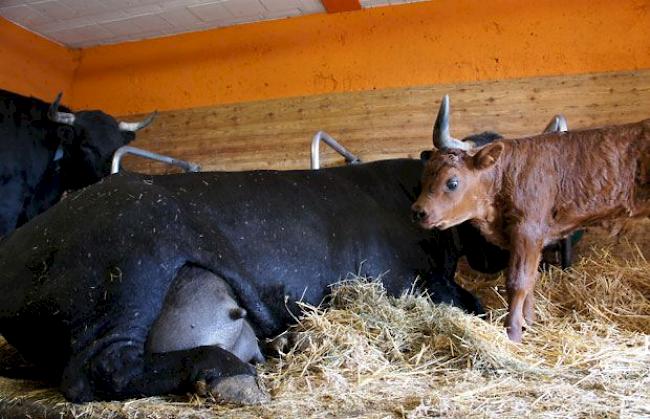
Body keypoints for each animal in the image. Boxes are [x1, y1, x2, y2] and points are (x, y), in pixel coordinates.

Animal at [410, 95, 648, 342]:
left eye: (453, 182)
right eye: (425, 176)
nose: (418, 211)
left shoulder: (527, 231)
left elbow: (519, 281)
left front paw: (513, 331)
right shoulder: (529, 238)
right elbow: (531, 279)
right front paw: (529, 323)